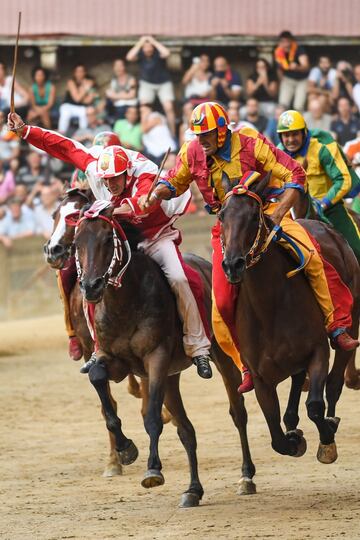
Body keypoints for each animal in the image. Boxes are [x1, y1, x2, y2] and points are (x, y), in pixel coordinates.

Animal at [74, 201, 256, 506]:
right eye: (77, 242)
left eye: (106, 239)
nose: (91, 286)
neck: (126, 300)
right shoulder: (113, 358)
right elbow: (98, 377)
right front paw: (126, 448)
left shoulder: (156, 358)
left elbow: (152, 418)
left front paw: (152, 469)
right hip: (172, 376)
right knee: (187, 430)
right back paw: (193, 490)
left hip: (222, 360)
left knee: (237, 413)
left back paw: (246, 477)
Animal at [219, 176, 358, 464]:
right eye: (221, 215)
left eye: (254, 216)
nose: (233, 265)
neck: (269, 307)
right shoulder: (260, 377)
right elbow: (275, 434)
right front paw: (294, 439)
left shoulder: (317, 350)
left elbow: (315, 405)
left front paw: (326, 439)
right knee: (296, 382)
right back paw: (293, 421)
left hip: (353, 318)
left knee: (335, 380)